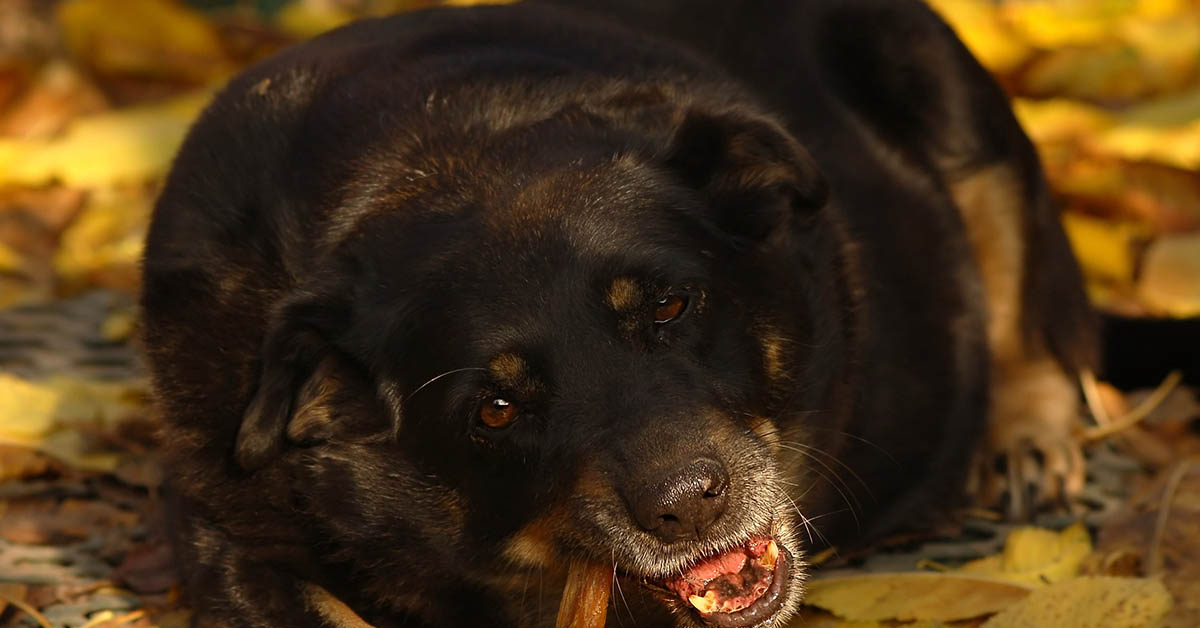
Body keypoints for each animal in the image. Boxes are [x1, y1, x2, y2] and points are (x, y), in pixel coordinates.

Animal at [138, 2, 1099, 624]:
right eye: (496, 410)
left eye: (670, 304)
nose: (690, 506)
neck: (428, 156)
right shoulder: (233, 545)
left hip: (951, 99)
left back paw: (1023, 436)